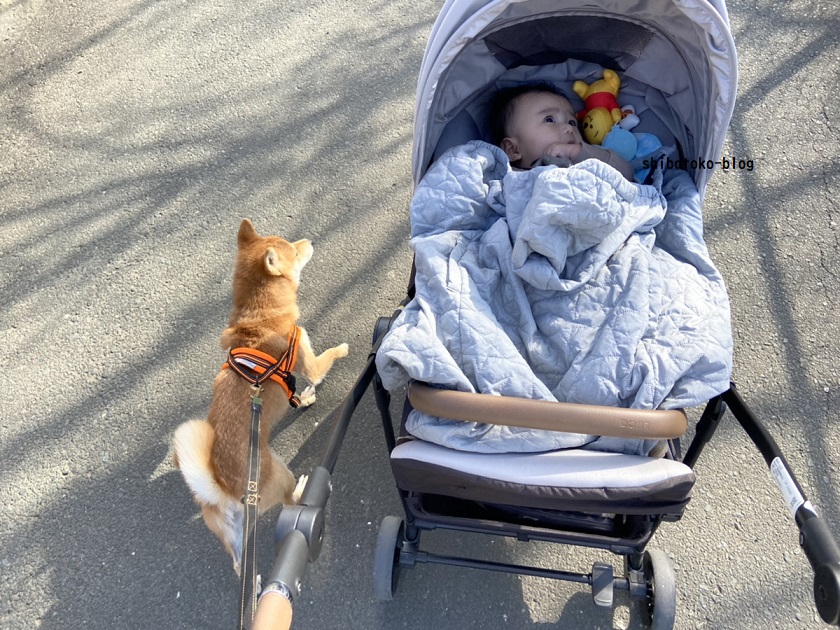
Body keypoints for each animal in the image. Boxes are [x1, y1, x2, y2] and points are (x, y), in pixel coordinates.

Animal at [172, 220, 350, 576]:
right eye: (294, 250)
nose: (309, 240)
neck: (257, 318)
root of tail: (223, 486)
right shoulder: (309, 361)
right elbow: (326, 360)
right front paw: (343, 350)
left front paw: (304, 398)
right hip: (280, 473)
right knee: (291, 502)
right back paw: (302, 490)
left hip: (233, 534)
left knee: (239, 564)